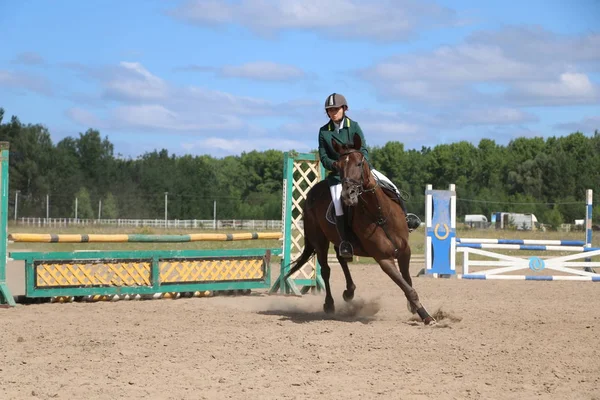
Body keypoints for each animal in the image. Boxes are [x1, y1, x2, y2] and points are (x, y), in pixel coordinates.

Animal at [282, 133, 436, 326]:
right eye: (339, 166)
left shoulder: (404, 251)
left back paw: (349, 292)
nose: (348, 196)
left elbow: (407, 280)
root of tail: (311, 192)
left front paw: (414, 307)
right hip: (320, 240)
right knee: (326, 270)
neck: (379, 214)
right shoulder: (383, 259)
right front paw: (426, 316)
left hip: (339, 241)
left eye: (359, 163)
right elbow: (406, 286)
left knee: (342, 257)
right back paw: (330, 304)